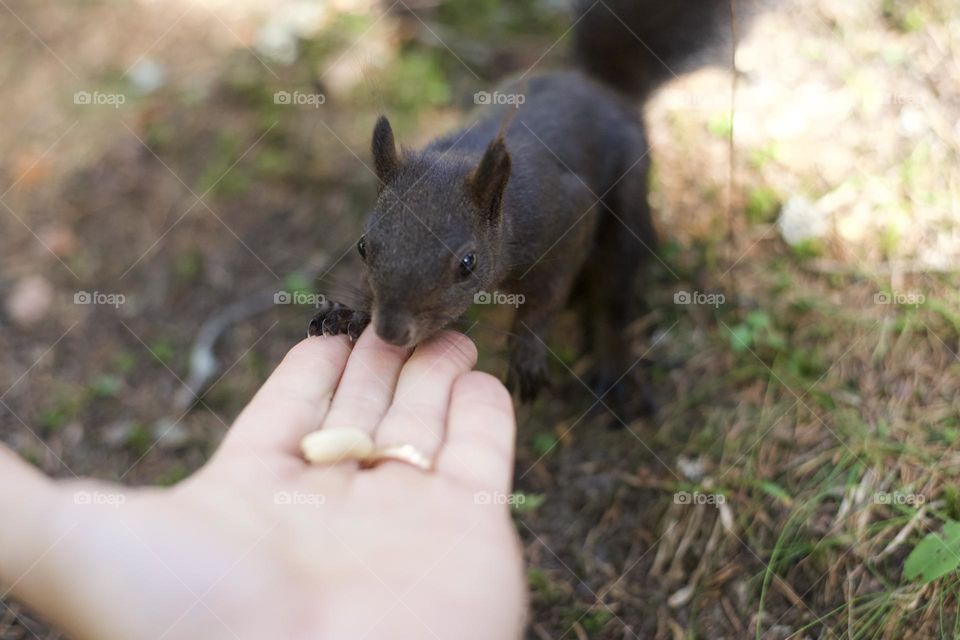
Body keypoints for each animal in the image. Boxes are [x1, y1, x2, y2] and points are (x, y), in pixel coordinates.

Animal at [309, 0, 745, 405]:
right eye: (362, 247)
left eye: (467, 263)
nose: (390, 331)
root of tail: (600, 89)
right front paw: (351, 312)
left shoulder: (566, 216)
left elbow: (548, 297)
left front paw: (527, 352)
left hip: (628, 203)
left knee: (613, 294)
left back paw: (613, 369)